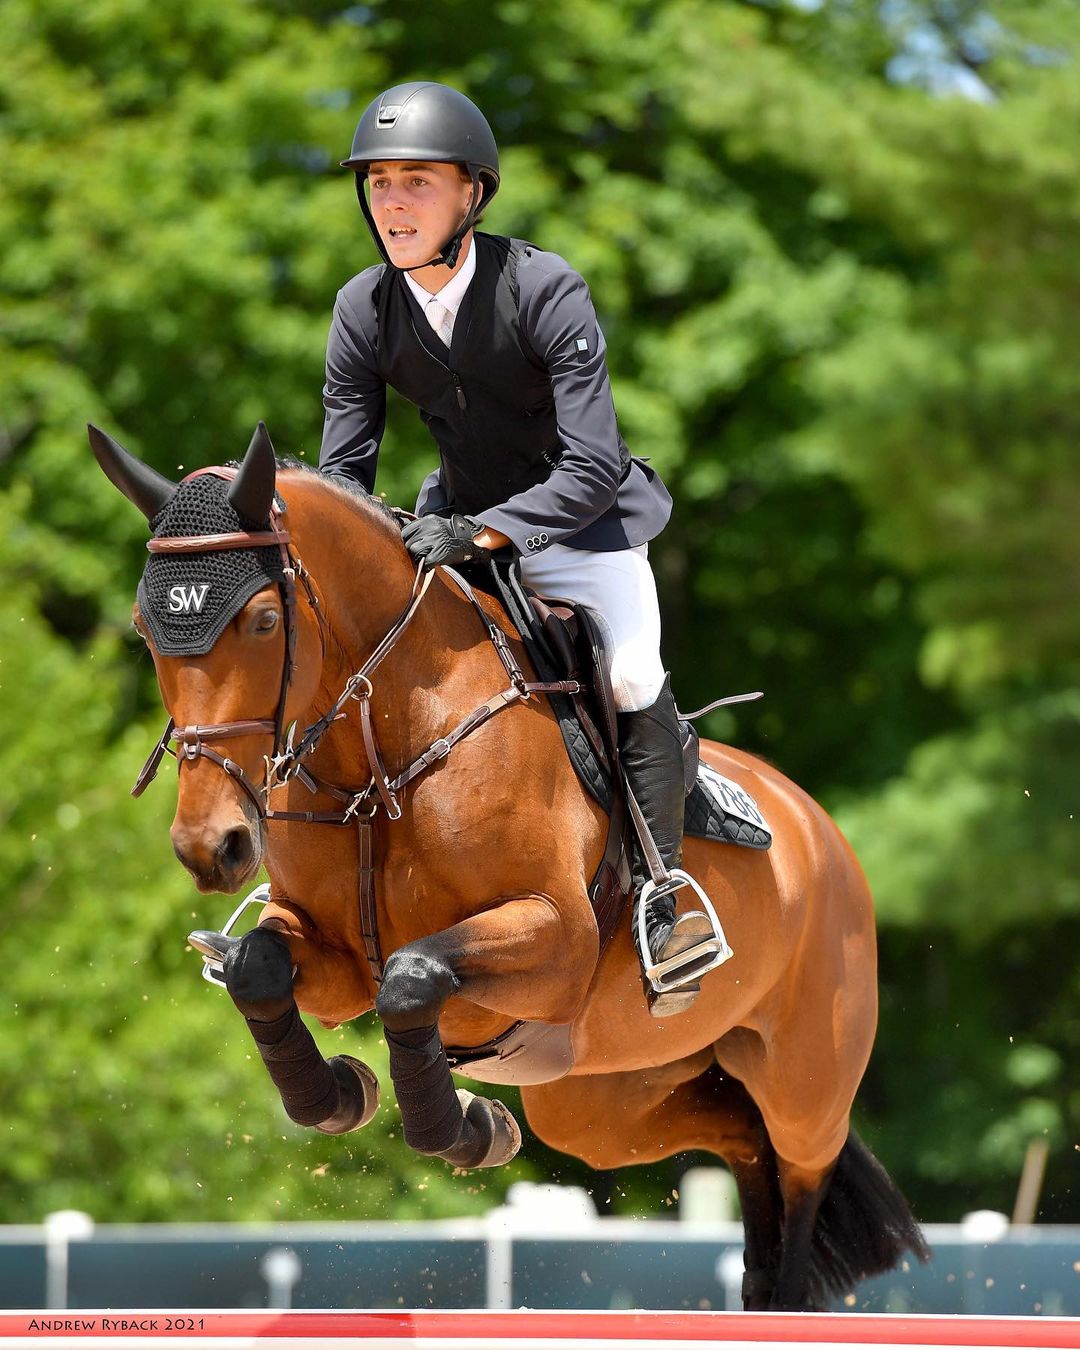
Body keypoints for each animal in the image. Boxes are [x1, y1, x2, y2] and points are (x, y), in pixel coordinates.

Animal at [90, 421, 928, 1306]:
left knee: (798, 1164)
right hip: (601, 1101)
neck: (381, 752)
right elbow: (260, 969)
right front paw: (350, 1095)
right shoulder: (334, 959)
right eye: (145, 629)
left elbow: (414, 976)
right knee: (741, 1135)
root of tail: (819, 829)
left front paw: (465, 1130)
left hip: (805, 1078)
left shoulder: (556, 940)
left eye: (258, 622)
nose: (212, 847)